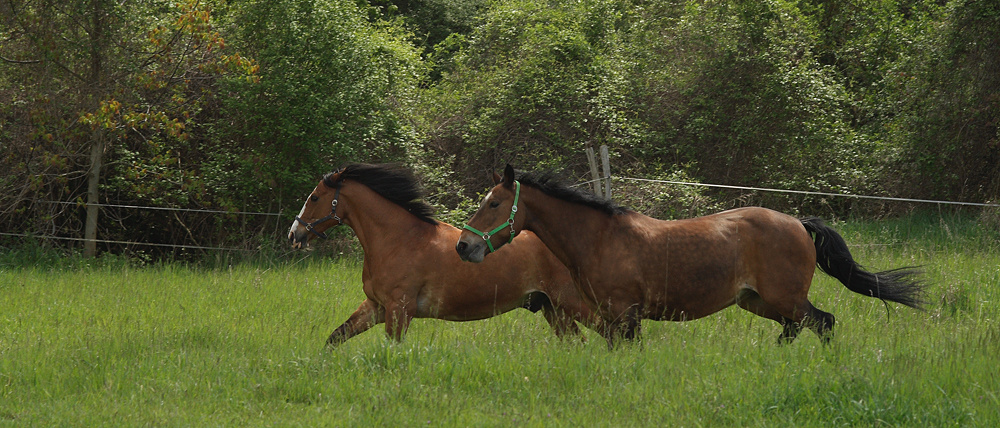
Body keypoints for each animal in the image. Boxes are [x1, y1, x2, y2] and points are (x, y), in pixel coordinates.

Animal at [286, 164, 596, 348]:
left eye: (314, 197)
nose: (294, 234)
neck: (398, 239)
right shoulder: (376, 307)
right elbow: (335, 337)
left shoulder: (399, 310)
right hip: (553, 309)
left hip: (576, 304)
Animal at [458, 164, 924, 348]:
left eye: (494, 204)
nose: (465, 246)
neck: (600, 238)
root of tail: (796, 222)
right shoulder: (610, 318)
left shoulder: (625, 315)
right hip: (758, 301)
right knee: (795, 329)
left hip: (784, 297)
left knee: (823, 323)